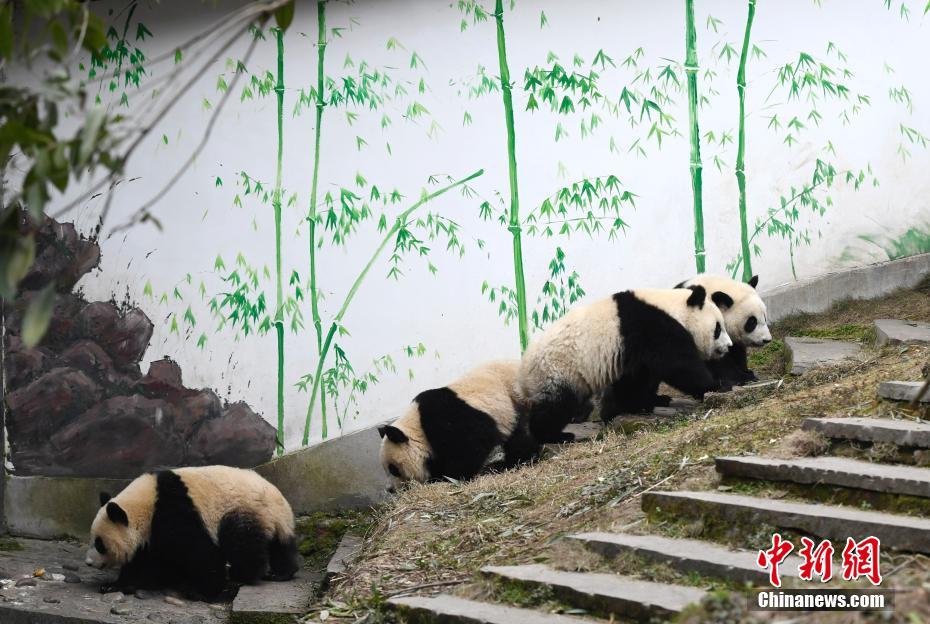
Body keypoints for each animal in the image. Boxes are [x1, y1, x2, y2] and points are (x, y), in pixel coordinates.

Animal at [85, 466, 298, 596]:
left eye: (99, 544)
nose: (88, 562)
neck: (146, 504)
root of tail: (277, 500)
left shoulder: (174, 512)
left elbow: (198, 552)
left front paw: (201, 590)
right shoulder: (151, 533)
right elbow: (144, 560)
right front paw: (115, 585)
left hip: (240, 509)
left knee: (240, 543)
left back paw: (241, 575)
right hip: (275, 520)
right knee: (281, 546)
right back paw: (281, 573)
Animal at [376, 358, 536, 490]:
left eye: (393, 469)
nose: (390, 489)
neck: (417, 425)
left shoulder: (448, 418)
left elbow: (469, 448)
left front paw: (450, 477)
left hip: (517, 400)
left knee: (521, 435)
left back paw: (511, 463)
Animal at [520, 286, 728, 442]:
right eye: (718, 328)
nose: (728, 346)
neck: (672, 308)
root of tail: (524, 364)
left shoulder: (628, 350)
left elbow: (635, 379)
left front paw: (641, 403)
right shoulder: (652, 327)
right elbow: (679, 366)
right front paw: (716, 386)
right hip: (559, 370)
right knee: (557, 405)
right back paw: (555, 435)